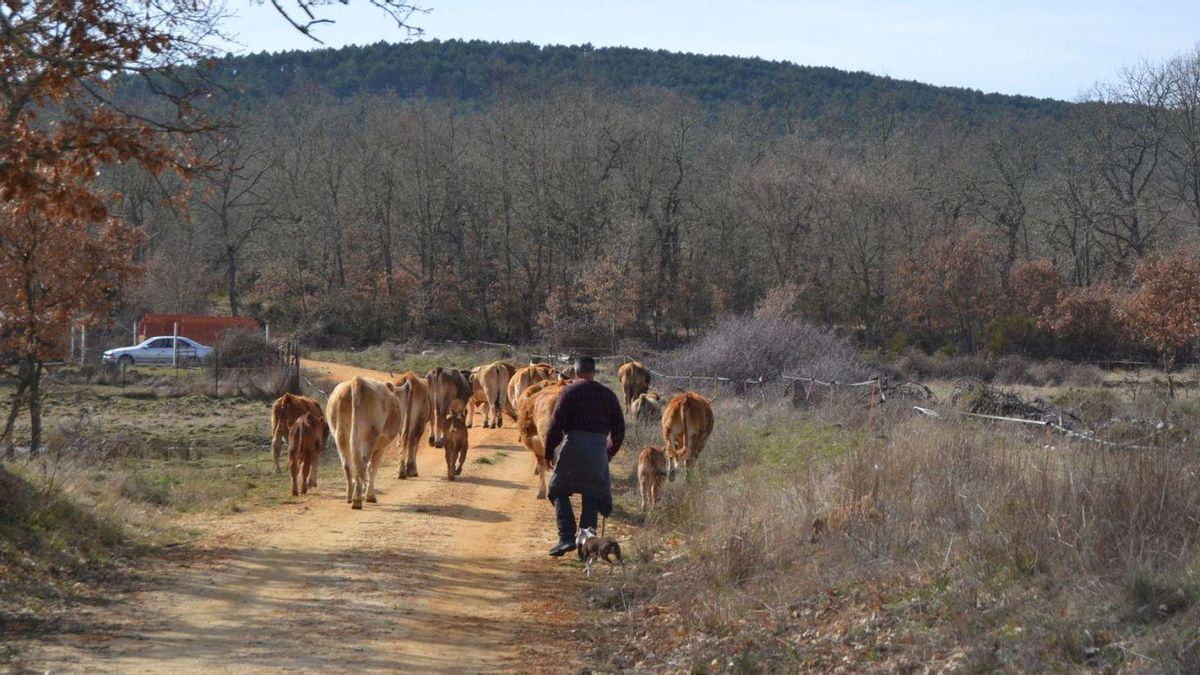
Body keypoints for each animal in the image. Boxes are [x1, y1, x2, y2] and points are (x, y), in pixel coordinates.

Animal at [326, 374, 405, 506]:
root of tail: (357, 381)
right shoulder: (381, 447)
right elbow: (373, 468)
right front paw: (370, 496)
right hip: (369, 438)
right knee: (363, 465)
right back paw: (357, 500)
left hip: (340, 435)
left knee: (347, 465)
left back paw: (350, 496)